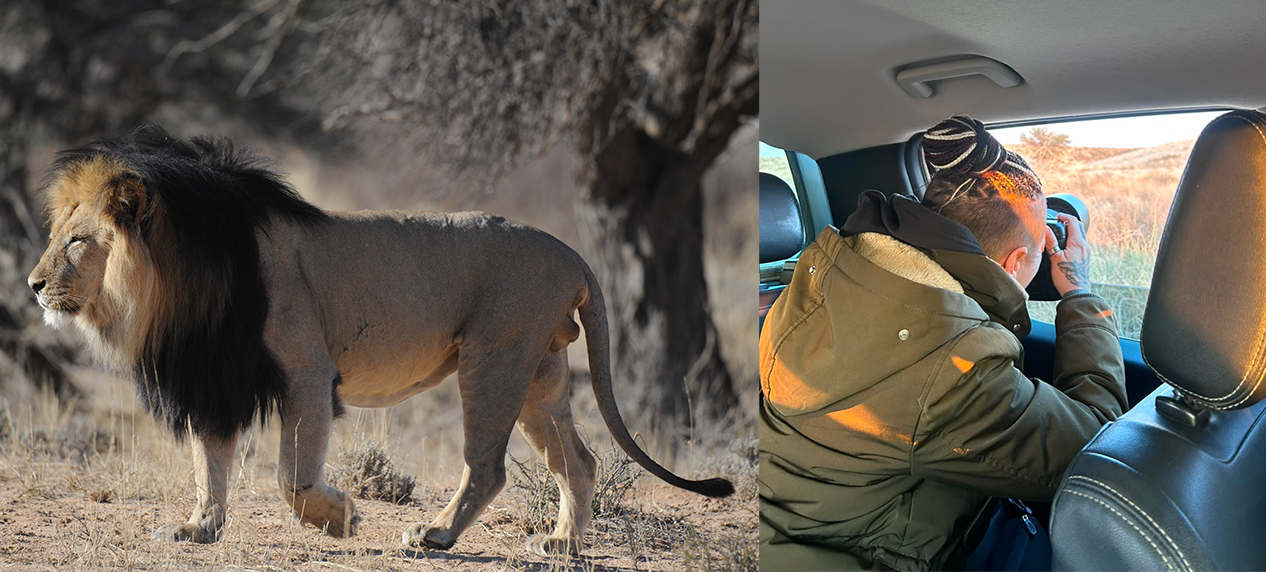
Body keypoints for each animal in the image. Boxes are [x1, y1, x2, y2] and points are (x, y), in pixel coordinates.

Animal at [26, 127, 732, 555]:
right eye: (57, 235)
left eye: (77, 242)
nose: (32, 285)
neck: (182, 281)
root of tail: (573, 253)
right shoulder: (217, 378)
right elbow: (210, 463)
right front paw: (198, 527)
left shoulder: (306, 372)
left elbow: (291, 476)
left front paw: (342, 519)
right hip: (542, 374)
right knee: (578, 462)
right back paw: (562, 543)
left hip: (493, 361)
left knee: (489, 465)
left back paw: (437, 536)